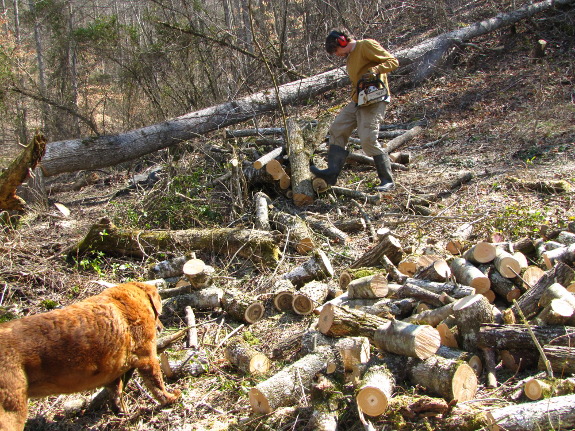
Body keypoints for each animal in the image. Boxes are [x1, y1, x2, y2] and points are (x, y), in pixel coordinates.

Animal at [0, 282, 180, 430]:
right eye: (157, 314)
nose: (162, 327)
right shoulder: (147, 356)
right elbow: (157, 384)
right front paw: (171, 398)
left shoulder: (115, 369)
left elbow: (116, 391)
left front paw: (121, 412)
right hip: (12, 409)